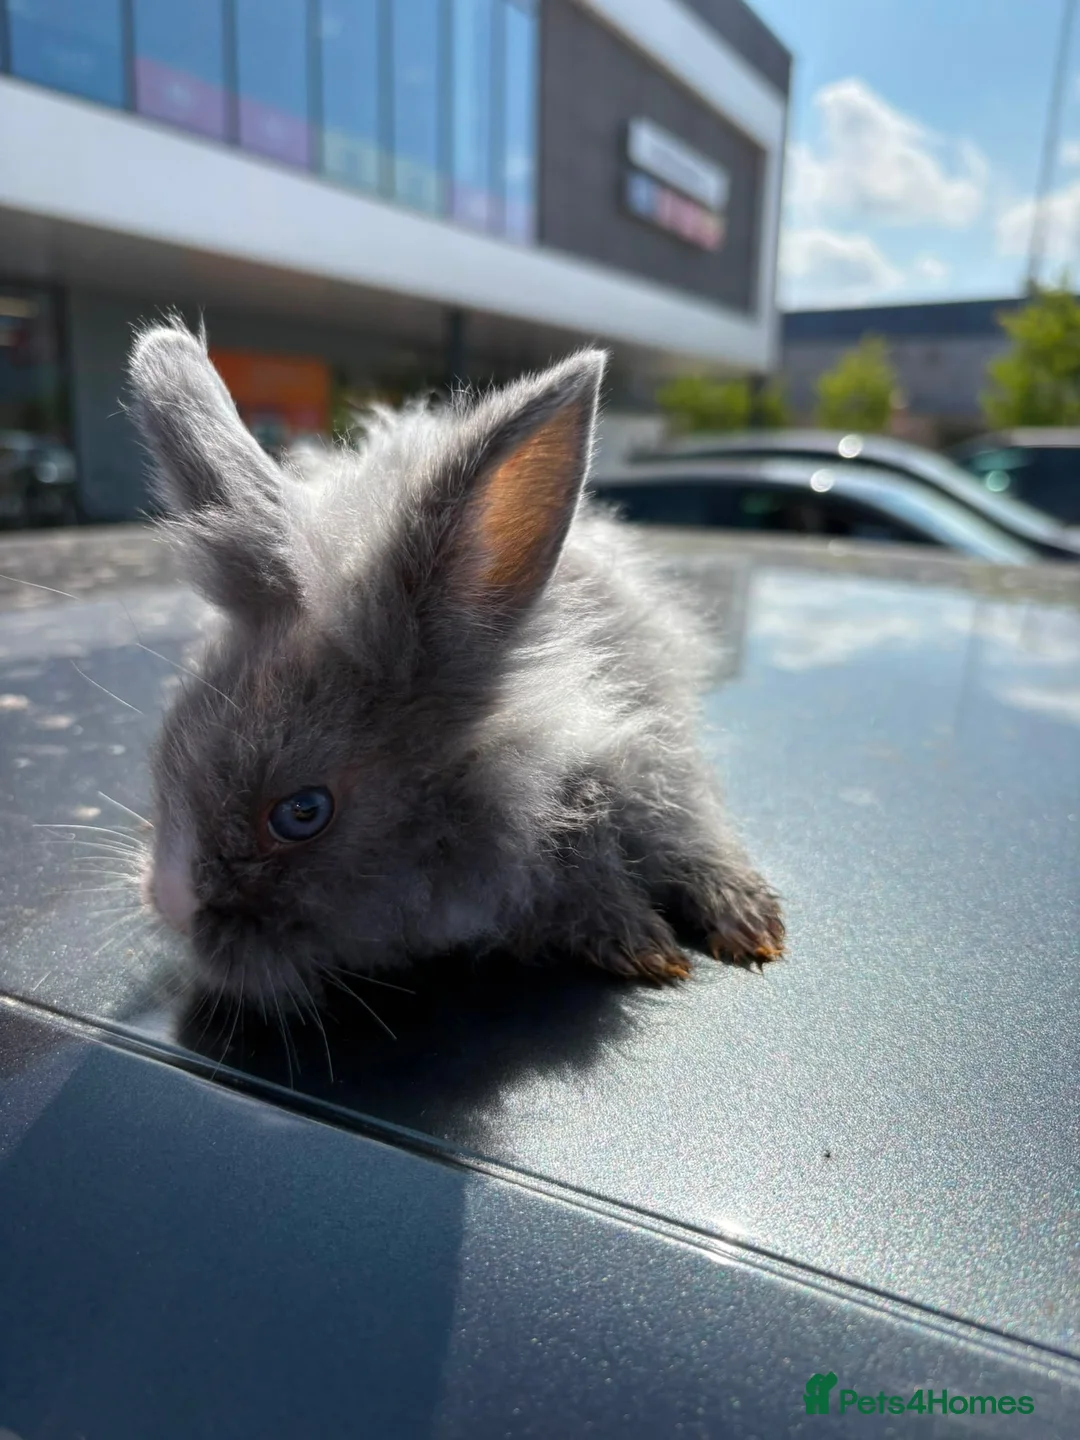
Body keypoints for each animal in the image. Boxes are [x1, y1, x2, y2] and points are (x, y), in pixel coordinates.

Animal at [128, 321, 783, 1009]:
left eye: (302, 812)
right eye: (166, 752)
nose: (172, 905)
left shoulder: (661, 761)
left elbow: (689, 839)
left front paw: (745, 927)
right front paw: (643, 943)